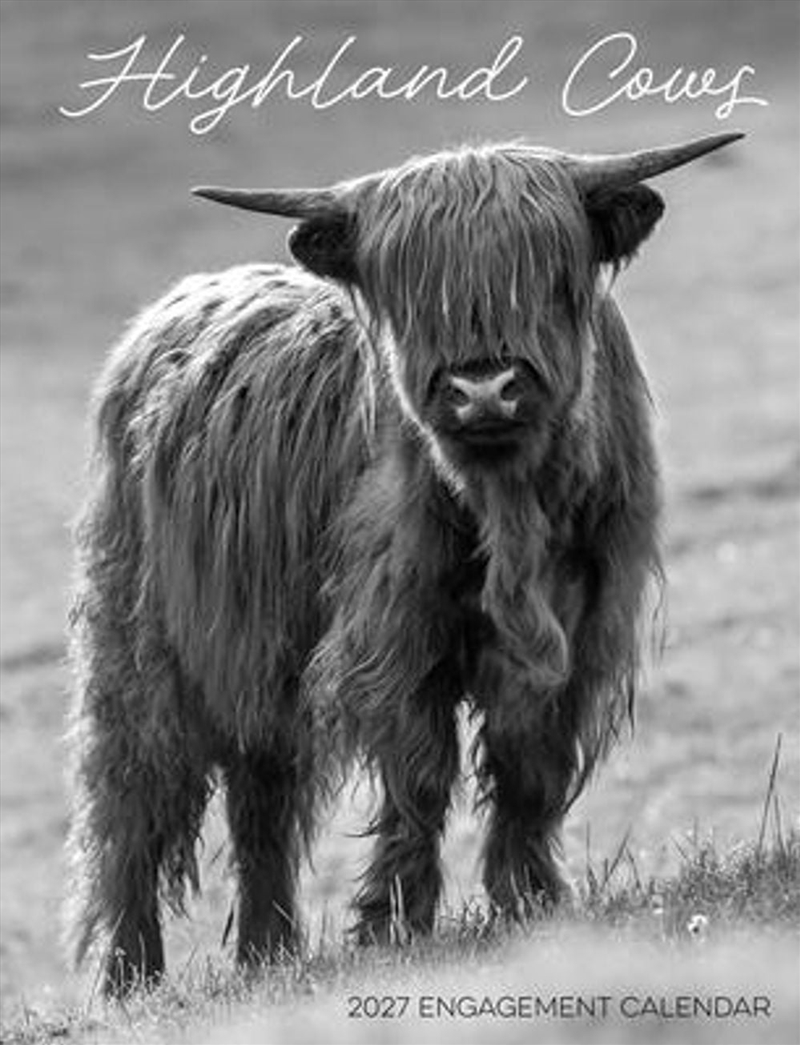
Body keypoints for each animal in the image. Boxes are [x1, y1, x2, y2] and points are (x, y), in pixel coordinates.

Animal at [64, 132, 743, 996]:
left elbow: (531, 760)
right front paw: (395, 923)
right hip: (140, 642)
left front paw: (529, 901)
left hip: (257, 659)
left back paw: (268, 951)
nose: (483, 389)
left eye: (547, 269)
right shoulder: (396, 627)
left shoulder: (585, 623)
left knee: (261, 796)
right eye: (412, 286)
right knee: (132, 797)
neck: (510, 511)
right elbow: (419, 770)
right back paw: (131, 976)